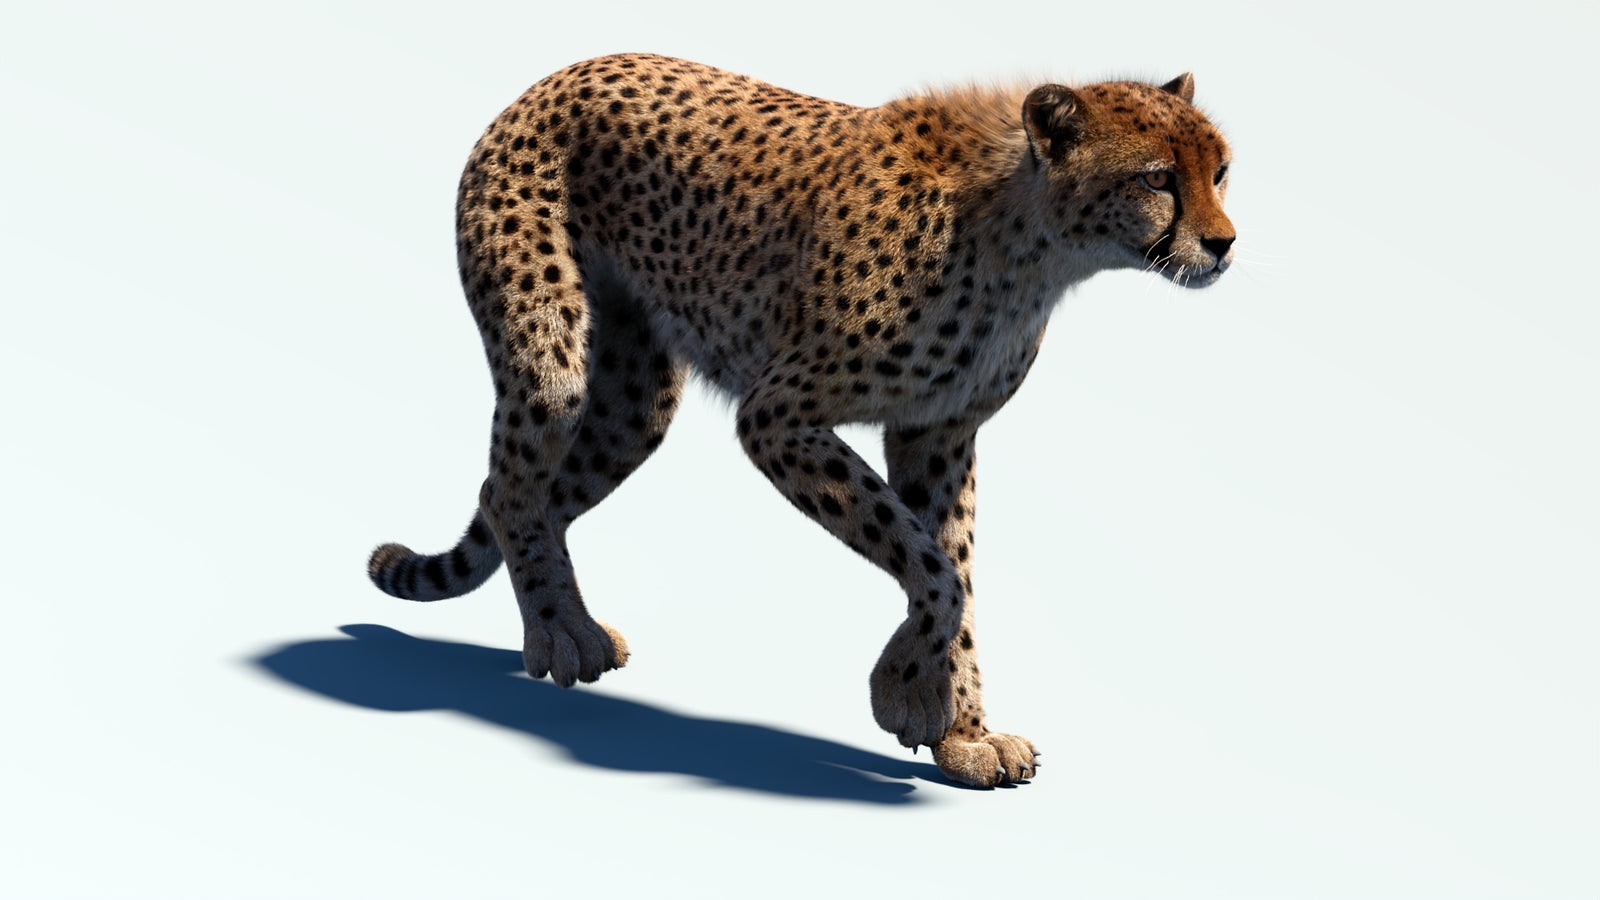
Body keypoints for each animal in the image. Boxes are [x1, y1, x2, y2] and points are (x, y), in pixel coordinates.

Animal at [367, 53, 1235, 788]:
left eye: (1222, 171)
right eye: (1159, 177)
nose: (1224, 243)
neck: (1030, 242)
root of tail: (558, 74)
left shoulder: (938, 432)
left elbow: (953, 567)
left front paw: (962, 733)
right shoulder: (779, 415)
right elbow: (932, 567)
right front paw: (904, 695)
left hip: (634, 403)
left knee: (536, 495)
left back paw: (570, 624)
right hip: (552, 363)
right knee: (508, 488)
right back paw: (558, 637)